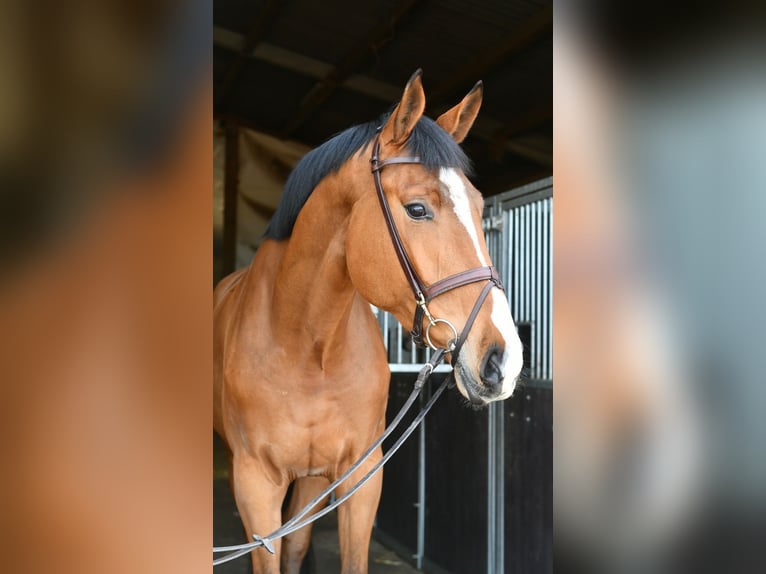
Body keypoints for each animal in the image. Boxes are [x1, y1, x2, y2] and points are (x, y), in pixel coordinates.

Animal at [213, 70, 523, 574]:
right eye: (417, 209)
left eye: (480, 208)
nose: (505, 360)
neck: (309, 351)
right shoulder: (255, 485)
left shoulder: (359, 480)